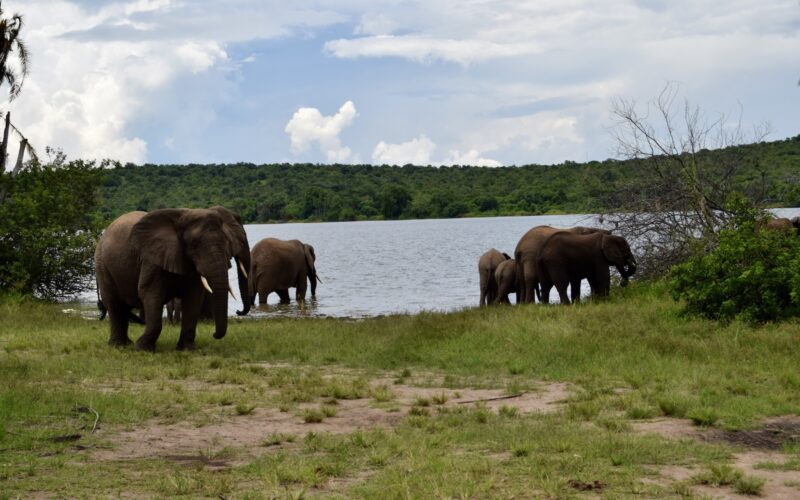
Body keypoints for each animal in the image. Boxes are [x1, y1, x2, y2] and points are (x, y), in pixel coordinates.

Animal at [94, 206, 251, 351]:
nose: (214, 334)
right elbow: (150, 294)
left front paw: (187, 349)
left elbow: (194, 298)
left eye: (227, 242)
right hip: (102, 264)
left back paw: (127, 343)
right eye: (194, 244)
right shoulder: (152, 260)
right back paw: (118, 346)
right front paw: (143, 348)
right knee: (114, 304)